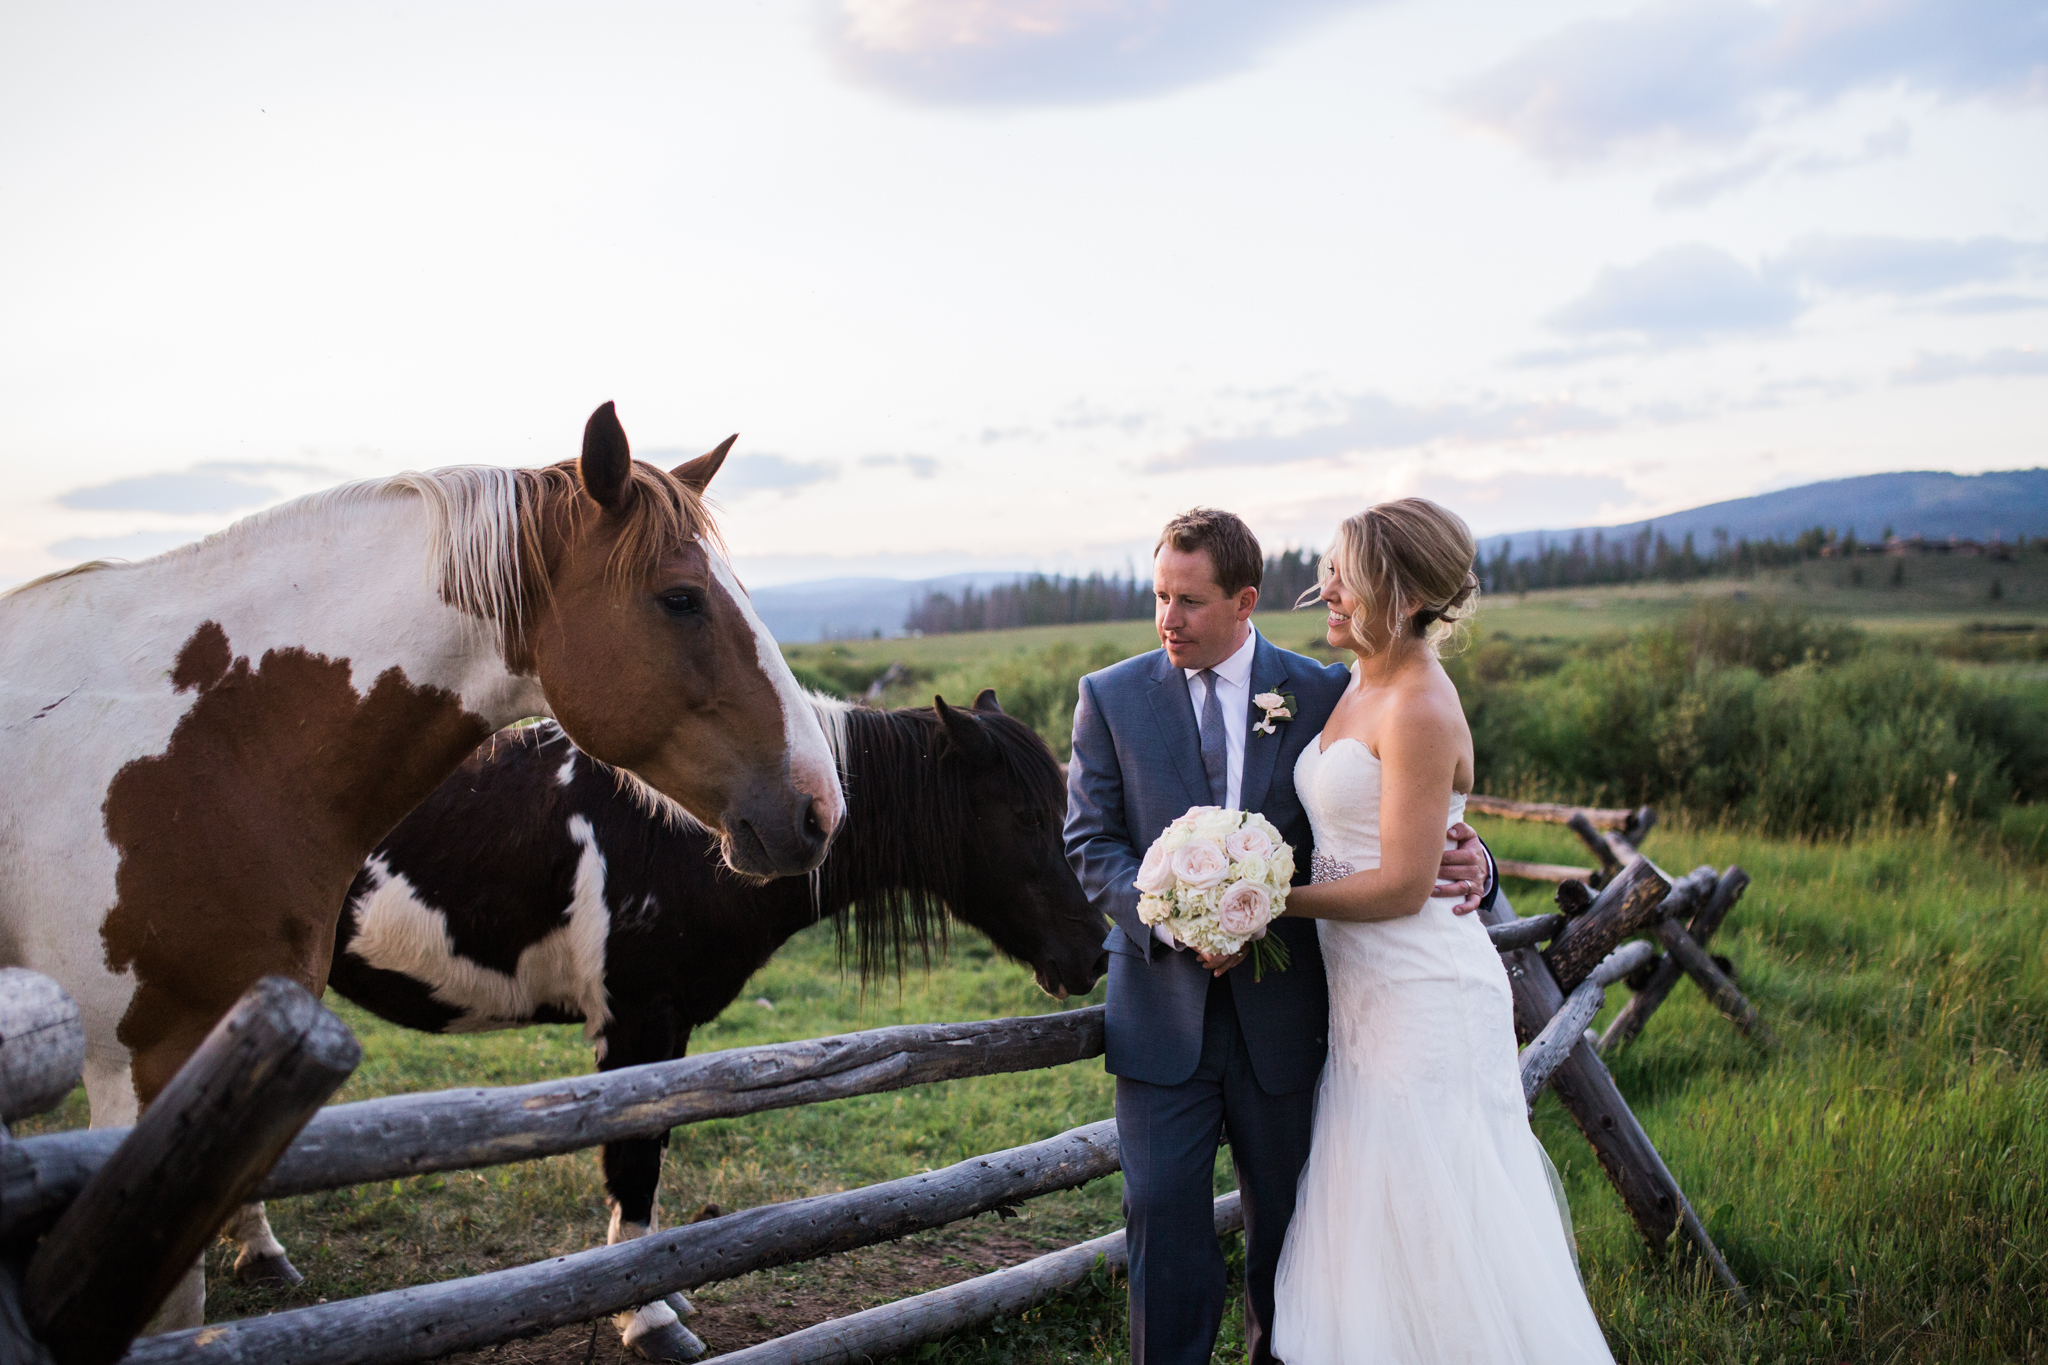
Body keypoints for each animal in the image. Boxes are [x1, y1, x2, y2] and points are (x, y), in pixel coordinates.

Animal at [299, 699, 1105, 1358]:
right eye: (1028, 818)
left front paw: (657, 1290)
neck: (688, 832)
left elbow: (653, 1149)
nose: (1094, 950)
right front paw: (648, 1318)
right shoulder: (636, 1021)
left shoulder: (671, 1028)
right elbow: (631, 1160)